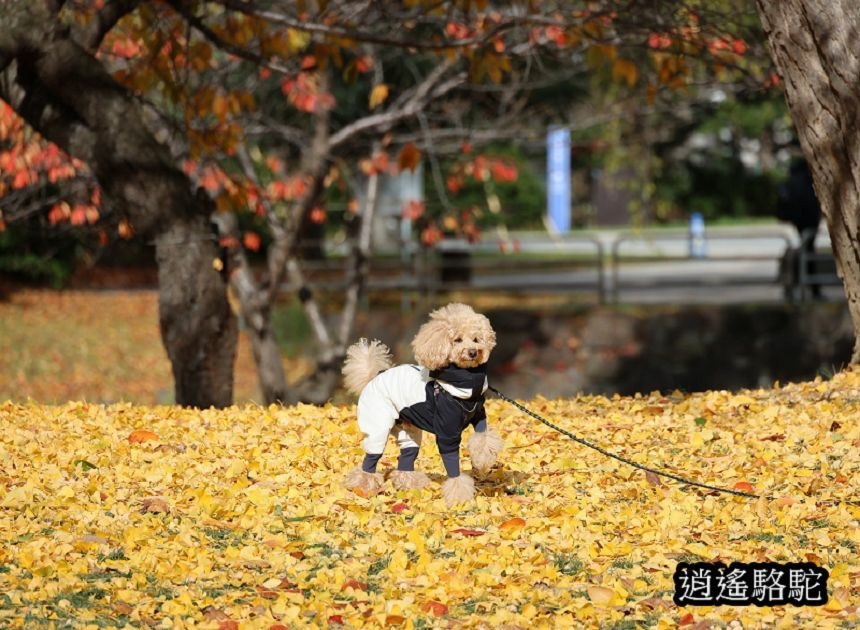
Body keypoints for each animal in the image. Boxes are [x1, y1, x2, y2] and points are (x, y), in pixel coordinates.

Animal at [342, 304, 504, 506]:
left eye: (476, 339)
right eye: (457, 340)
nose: (473, 352)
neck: (463, 388)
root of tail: (373, 377)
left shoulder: (479, 417)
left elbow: (483, 439)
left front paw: (483, 460)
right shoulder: (447, 434)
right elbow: (453, 467)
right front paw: (460, 497)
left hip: (408, 430)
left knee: (406, 456)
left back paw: (411, 484)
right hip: (378, 426)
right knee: (371, 457)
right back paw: (362, 486)